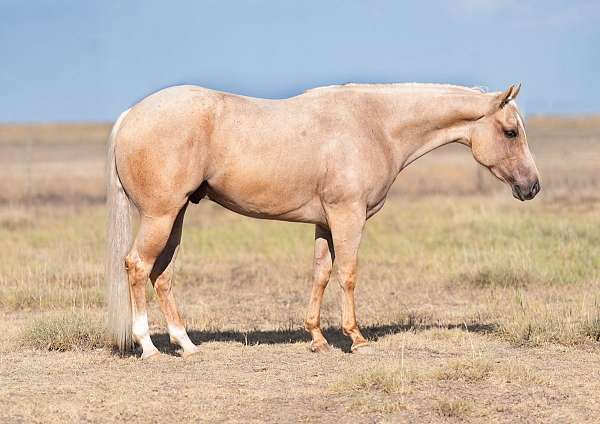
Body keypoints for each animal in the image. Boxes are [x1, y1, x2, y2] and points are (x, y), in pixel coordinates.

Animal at [105, 82, 540, 358]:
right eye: (510, 132)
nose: (532, 187)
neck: (374, 124)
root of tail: (130, 116)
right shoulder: (348, 216)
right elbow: (347, 273)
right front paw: (357, 339)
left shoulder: (325, 223)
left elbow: (321, 273)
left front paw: (317, 338)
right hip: (160, 216)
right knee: (138, 266)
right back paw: (148, 348)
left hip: (175, 217)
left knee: (162, 275)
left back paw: (187, 345)